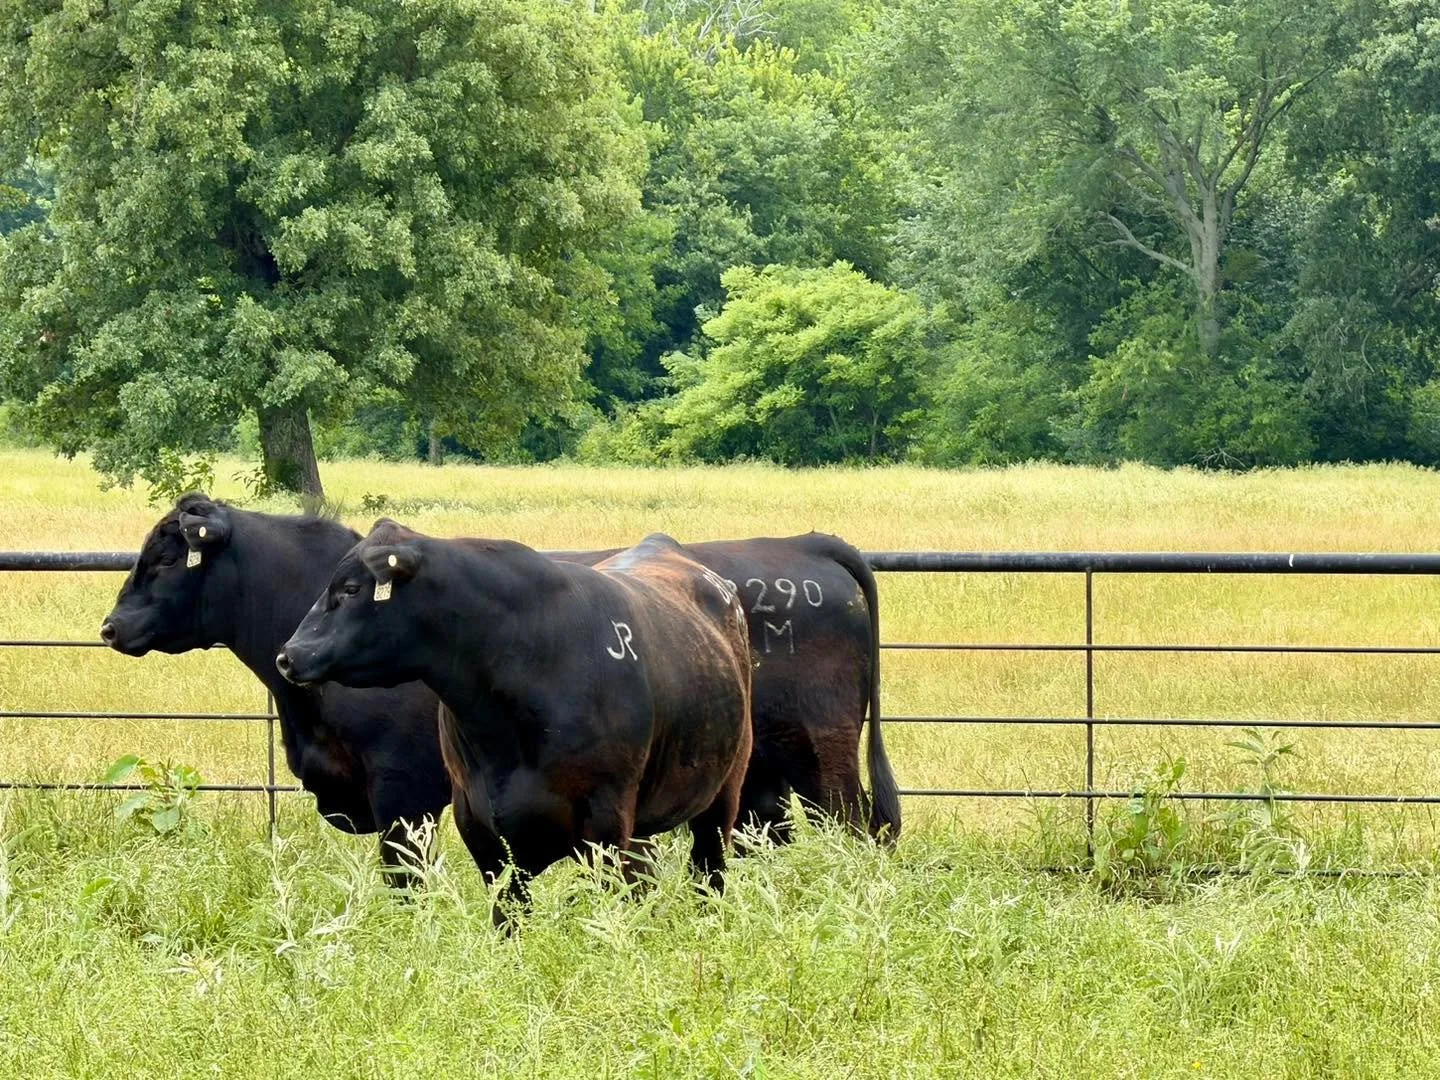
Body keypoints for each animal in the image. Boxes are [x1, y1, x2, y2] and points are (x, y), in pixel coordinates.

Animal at [276, 523, 754, 917]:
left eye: (351, 588)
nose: (288, 655)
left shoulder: (604, 821)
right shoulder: (479, 826)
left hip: (723, 792)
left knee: (708, 871)